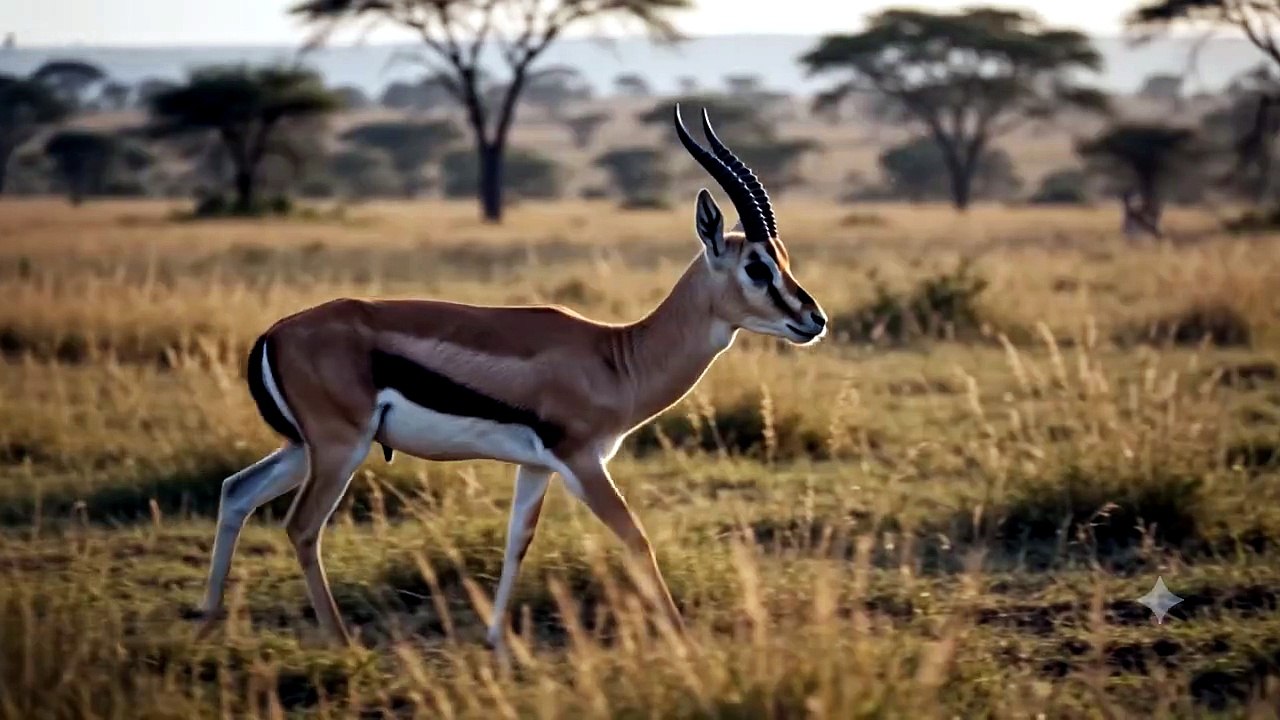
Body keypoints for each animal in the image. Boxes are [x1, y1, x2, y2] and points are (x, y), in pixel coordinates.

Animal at [195, 105, 828, 650]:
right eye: (756, 267)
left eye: (785, 259)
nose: (813, 319)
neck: (616, 357)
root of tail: (272, 334)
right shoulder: (581, 461)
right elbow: (636, 538)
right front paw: (683, 638)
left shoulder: (535, 467)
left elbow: (516, 544)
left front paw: (495, 640)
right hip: (338, 449)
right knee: (301, 527)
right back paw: (339, 641)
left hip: (303, 447)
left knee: (235, 492)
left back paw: (206, 621)